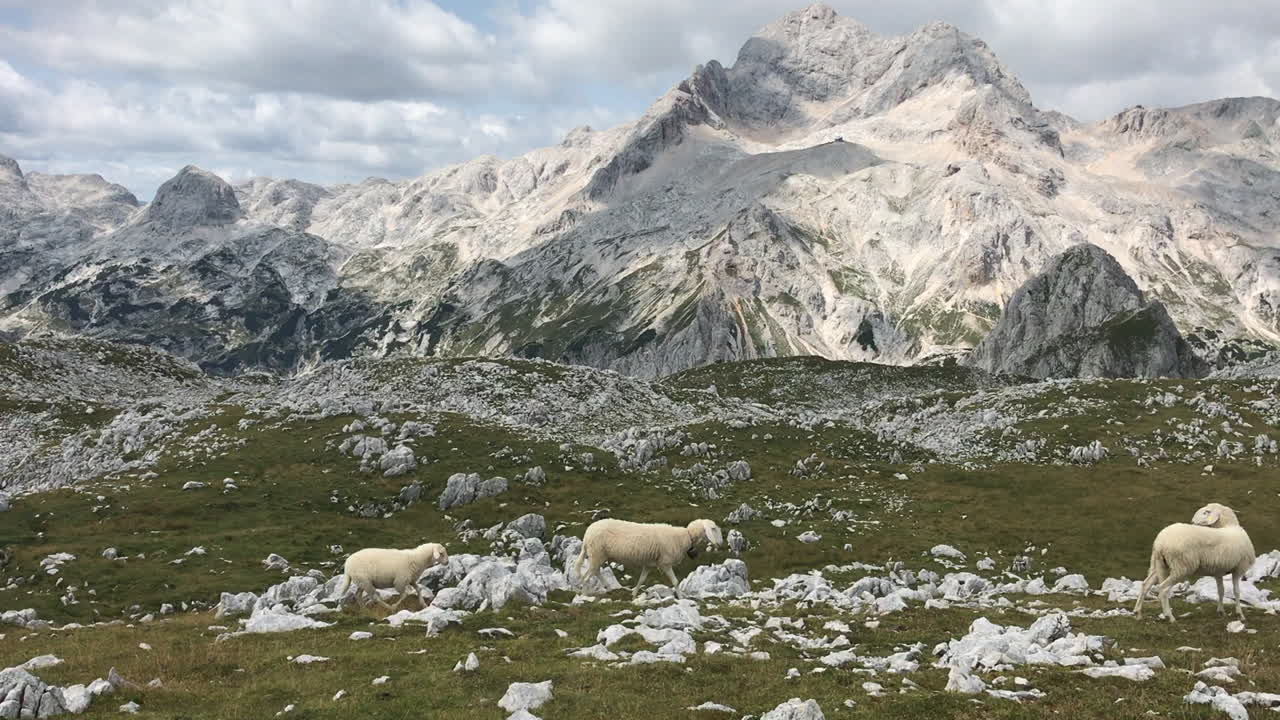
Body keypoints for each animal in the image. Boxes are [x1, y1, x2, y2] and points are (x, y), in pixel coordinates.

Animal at [573, 518, 723, 597]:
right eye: (714, 529)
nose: (721, 542)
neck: (685, 537)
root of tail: (587, 534)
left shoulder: (649, 564)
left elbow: (642, 579)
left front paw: (634, 593)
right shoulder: (665, 563)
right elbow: (675, 581)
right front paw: (681, 597)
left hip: (598, 555)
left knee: (596, 571)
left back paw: (607, 586)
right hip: (596, 553)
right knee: (587, 576)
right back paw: (585, 595)